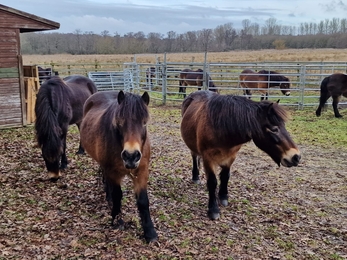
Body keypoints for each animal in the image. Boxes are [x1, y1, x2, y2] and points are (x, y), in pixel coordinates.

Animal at [80, 90, 158, 243]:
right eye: (120, 122)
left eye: (144, 123)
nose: (131, 156)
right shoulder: (113, 172)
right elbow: (117, 195)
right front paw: (117, 220)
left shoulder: (142, 172)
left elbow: (143, 201)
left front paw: (150, 233)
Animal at [182, 90, 302, 220]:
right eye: (274, 129)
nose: (296, 157)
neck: (221, 128)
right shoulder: (208, 159)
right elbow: (212, 182)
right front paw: (213, 209)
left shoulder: (231, 157)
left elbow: (225, 176)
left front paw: (223, 197)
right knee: (194, 156)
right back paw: (195, 177)